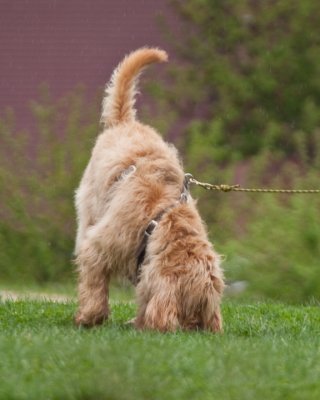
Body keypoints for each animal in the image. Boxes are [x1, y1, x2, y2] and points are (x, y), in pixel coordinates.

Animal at [74, 47, 225, 332]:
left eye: (201, 315)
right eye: (189, 315)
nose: (195, 330)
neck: (159, 219)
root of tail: (125, 122)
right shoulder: (99, 246)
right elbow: (94, 284)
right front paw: (89, 317)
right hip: (89, 208)